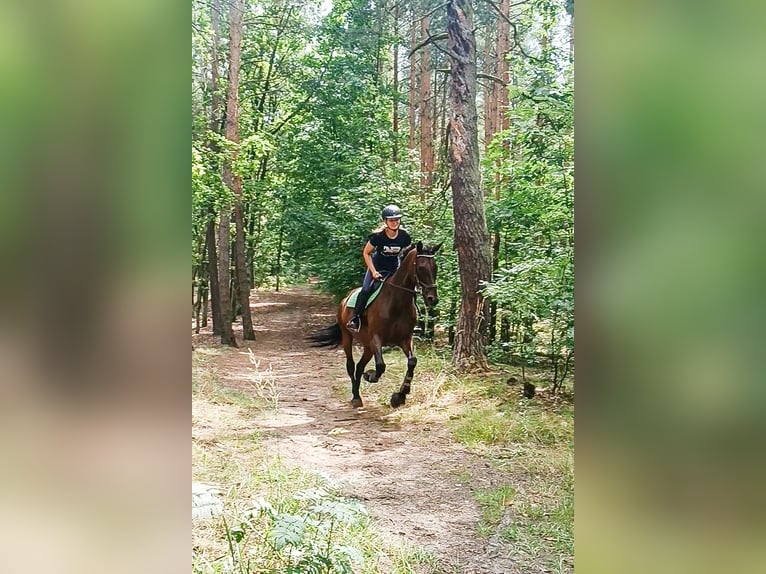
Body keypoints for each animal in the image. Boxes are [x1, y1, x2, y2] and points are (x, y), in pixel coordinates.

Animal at [309, 241, 441, 408]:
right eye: (421, 267)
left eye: (435, 267)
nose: (432, 299)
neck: (396, 302)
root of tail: (345, 299)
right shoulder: (376, 339)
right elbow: (380, 365)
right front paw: (371, 376)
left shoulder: (405, 339)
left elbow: (412, 362)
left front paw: (400, 395)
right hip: (348, 337)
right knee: (351, 365)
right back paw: (356, 397)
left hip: (367, 346)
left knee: (359, 366)